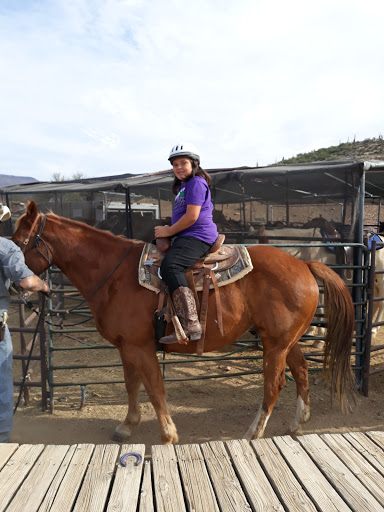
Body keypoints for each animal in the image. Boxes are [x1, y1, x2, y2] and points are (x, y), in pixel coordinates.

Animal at [12, 202, 356, 442]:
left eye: (18, 242)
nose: (15, 286)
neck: (115, 274)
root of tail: (305, 264)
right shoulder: (126, 348)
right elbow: (132, 386)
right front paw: (127, 426)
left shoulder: (140, 348)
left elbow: (154, 388)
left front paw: (167, 434)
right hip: (284, 341)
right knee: (301, 371)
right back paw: (297, 423)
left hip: (275, 345)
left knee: (274, 384)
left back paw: (253, 433)